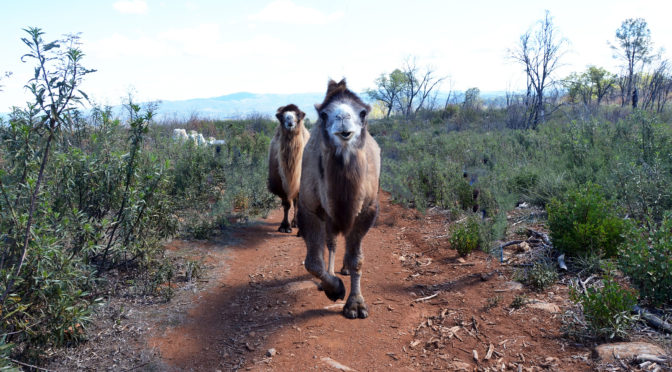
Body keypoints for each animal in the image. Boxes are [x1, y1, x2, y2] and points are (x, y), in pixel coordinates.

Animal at [268, 104, 310, 232]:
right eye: (282, 116)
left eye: (298, 115)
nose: (290, 122)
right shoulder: (280, 185)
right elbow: (286, 204)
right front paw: (285, 226)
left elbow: (298, 203)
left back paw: (296, 222)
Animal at [298, 79, 378, 320]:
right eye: (324, 114)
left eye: (363, 113)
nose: (343, 117)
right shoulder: (309, 208)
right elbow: (313, 262)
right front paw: (335, 289)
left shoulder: (367, 211)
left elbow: (356, 259)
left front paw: (356, 305)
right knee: (331, 242)